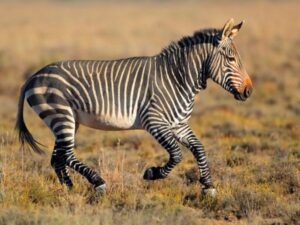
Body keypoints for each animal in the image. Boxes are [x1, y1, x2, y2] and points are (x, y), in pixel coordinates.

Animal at [15, 18, 252, 196]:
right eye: (231, 59)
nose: (249, 91)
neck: (177, 78)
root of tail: (35, 75)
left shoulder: (179, 124)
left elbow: (199, 148)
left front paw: (208, 186)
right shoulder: (154, 121)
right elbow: (177, 154)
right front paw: (152, 173)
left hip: (66, 120)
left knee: (58, 157)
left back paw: (70, 189)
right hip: (61, 115)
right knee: (66, 155)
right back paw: (97, 182)